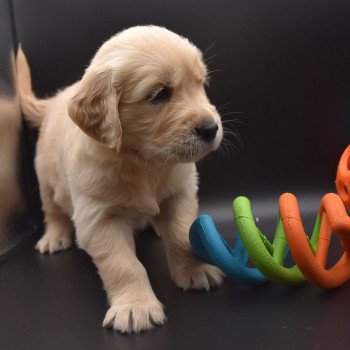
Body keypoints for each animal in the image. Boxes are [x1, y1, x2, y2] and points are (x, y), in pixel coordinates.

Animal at [16, 26, 223, 332]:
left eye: (201, 84)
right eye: (159, 94)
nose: (211, 128)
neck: (144, 162)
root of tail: (56, 99)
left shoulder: (180, 194)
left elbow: (181, 234)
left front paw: (195, 269)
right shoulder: (100, 218)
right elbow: (123, 264)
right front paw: (135, 306)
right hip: (46, 179)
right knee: (53, 211)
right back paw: (54, 237)